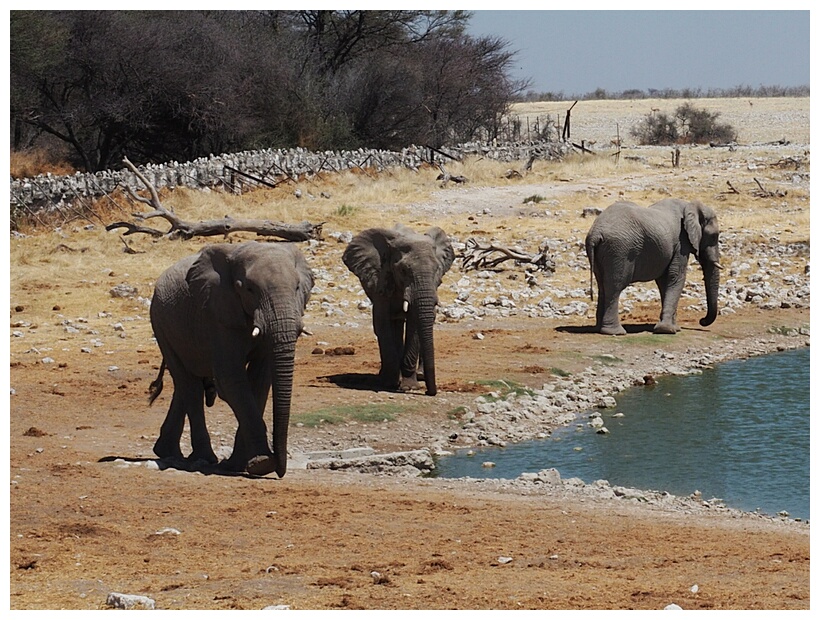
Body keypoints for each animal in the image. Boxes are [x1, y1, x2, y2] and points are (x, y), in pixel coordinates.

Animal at [147, 240, 314, 478]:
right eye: (249, 289)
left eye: (298, 287)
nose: (281, 470)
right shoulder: (218, 314)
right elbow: (231, 379)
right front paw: (262, 463)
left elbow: (259, 380)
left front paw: (240, 464)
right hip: (161, 324)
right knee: (189, 385)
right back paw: (203, 458)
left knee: (185, 384)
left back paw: (167, 452)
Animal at [340, 225, 454, 394]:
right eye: (403, 270)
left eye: (437, 269)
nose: (429, 392)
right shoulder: (380, 279)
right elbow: (382, 323)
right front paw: (390, 383)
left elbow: (414, 323)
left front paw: (408, 387)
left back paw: (419, 375)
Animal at [584, 197, 724, 334]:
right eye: (714, 236)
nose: (702, 321)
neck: (689, 204)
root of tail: (595, 233)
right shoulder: (681, 242)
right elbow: (676, 277)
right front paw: (667, 330)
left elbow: (664, 281)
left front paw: (673, 328)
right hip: (619, 250)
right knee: (615, 286)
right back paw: (615, 332)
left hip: (604, 252)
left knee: (602, 285)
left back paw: (599, 329)